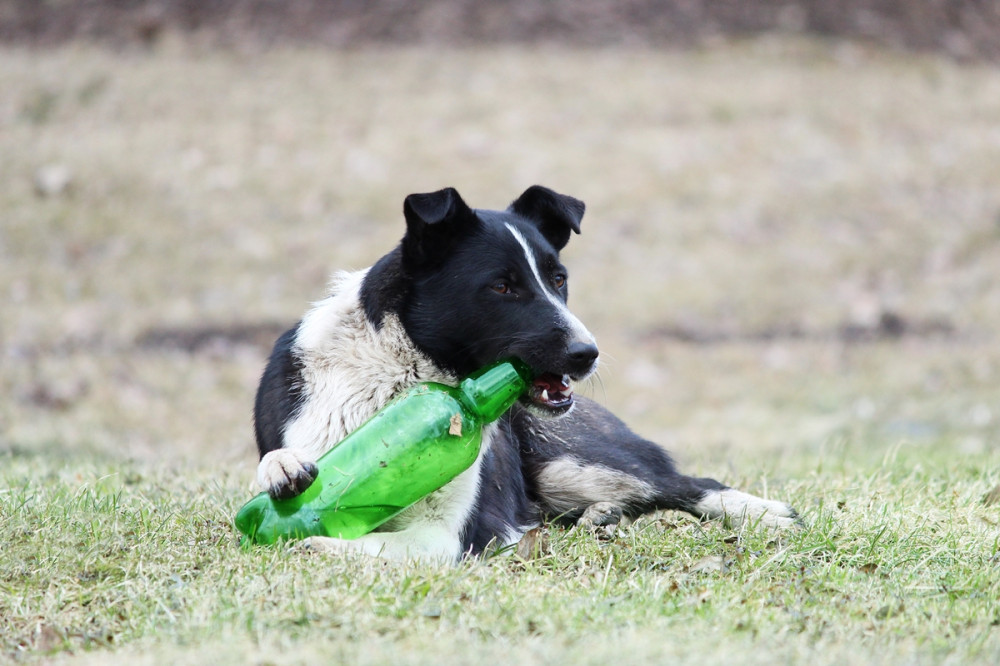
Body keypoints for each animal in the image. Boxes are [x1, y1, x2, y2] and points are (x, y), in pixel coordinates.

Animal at [254, 184, 800, 556]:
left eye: (559, 280)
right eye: (502, 287)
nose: (588, 353)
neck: (401, 374)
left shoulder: (450, 534)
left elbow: (369, 544)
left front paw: (311, 541)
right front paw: (283, 473)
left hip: (568, 460)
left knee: (684, 484)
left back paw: (764, 513)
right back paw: (602, 517)